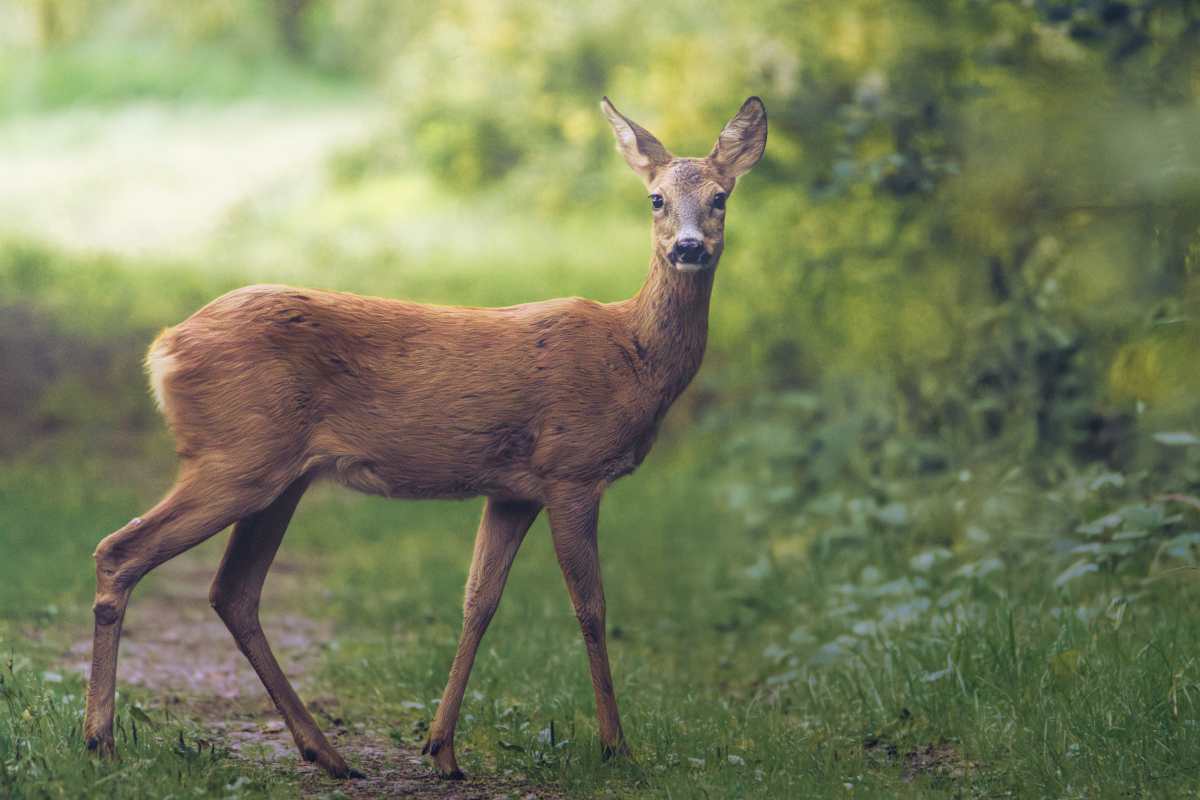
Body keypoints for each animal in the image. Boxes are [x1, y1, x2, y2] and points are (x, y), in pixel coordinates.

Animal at [82, 96, 767, 780]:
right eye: (655, 198)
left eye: (721, 197)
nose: (689, 248)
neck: (633, 356)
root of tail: (164, 348)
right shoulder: (571, 469)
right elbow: (591, 607)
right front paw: (616, 747)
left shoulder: (513, 489)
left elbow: (479, 602)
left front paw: (441, 748)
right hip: (236, 455)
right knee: (121, 551)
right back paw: (101, 741)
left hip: (277, 475)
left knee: (234, 591)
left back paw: (326, 751)